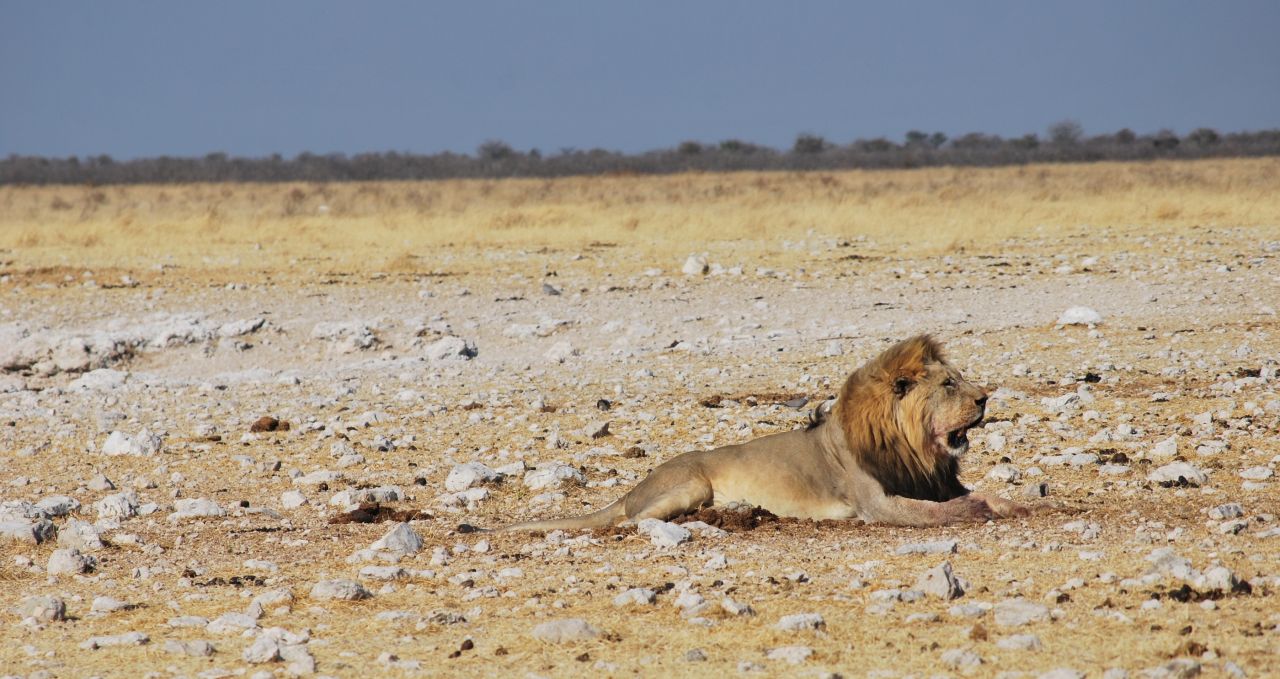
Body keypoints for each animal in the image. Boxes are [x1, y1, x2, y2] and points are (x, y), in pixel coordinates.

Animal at [488, 333, 1029, 527]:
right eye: (949, 384)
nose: (985, 398)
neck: (912, 447)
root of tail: (634, 486)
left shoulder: (932, 479)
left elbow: (983, 492)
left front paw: (1016, 504)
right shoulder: (877, 504)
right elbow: (940, 512)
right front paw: (980, 511)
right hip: (688, 484)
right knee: (631, 522)